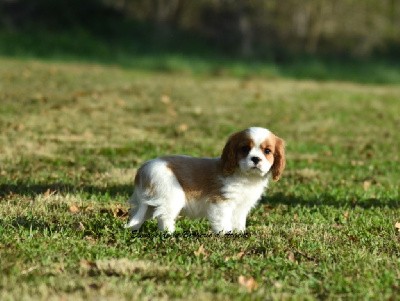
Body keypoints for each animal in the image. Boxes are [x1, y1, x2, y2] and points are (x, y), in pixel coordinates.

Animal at [125, 126, 284, 232]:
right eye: (245, 149)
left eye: (267, 151)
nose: (256, 159)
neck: (246, 177)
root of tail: (143, 169)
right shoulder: (222, 202)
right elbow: (223, 221)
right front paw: (227, 235)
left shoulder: (241, 207)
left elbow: (238, 221)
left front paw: (239, 234)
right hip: (171, 195)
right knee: (164, 216)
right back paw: (169, 234)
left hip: (151, 202)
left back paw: (135, 230)